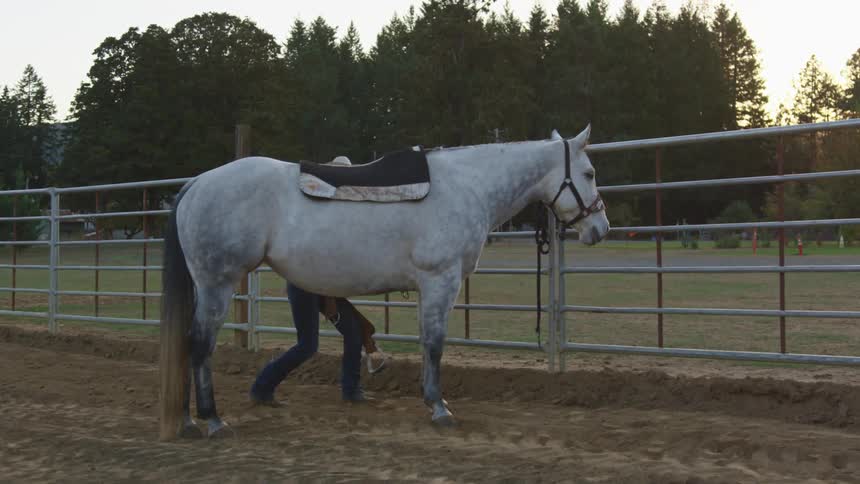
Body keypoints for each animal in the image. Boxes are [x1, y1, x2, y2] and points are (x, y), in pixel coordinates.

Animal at [158, 125, 610, 440]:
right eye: (588, 172)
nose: (600, 229)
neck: (468, 187)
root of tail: (196, 184)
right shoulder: (440, 280)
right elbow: (435, 344)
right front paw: (439, 408)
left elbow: (422, 343)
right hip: (217, 284)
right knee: (199, 345)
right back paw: (212, 420)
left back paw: (188, 421)